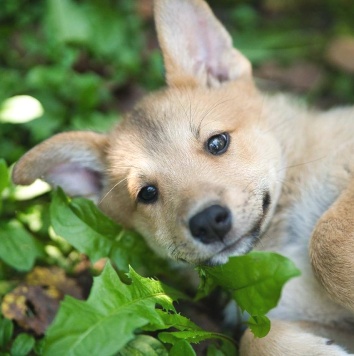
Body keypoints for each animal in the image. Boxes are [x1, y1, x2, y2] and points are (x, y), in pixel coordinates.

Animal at [11, 1, 354, 354]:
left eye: (217, 142)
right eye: (147, 193)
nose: (209, 222)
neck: (277, 242)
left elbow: (326, 242)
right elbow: (255, 338)